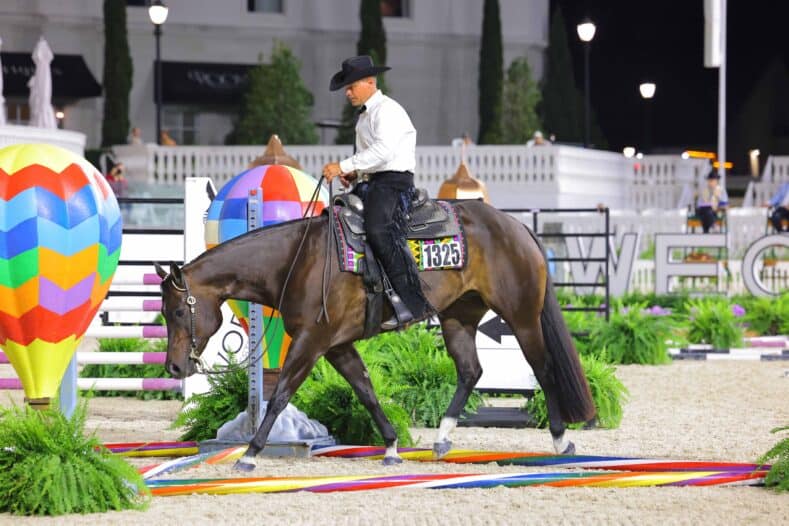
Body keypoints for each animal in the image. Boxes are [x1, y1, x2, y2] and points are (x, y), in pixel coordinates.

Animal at [155, 199, 594, 472]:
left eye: (176, 311)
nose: (174, 367)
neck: (298, 259)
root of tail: (516, 225)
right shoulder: (337, 346)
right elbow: (366, 391)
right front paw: (392, 447)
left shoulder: (312, 343)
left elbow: (280, 395)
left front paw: (250, 453)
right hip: (458, 317)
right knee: (471, 371)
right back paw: (442, 438)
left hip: (521, 317)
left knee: (543, 368)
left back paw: (561, 441)